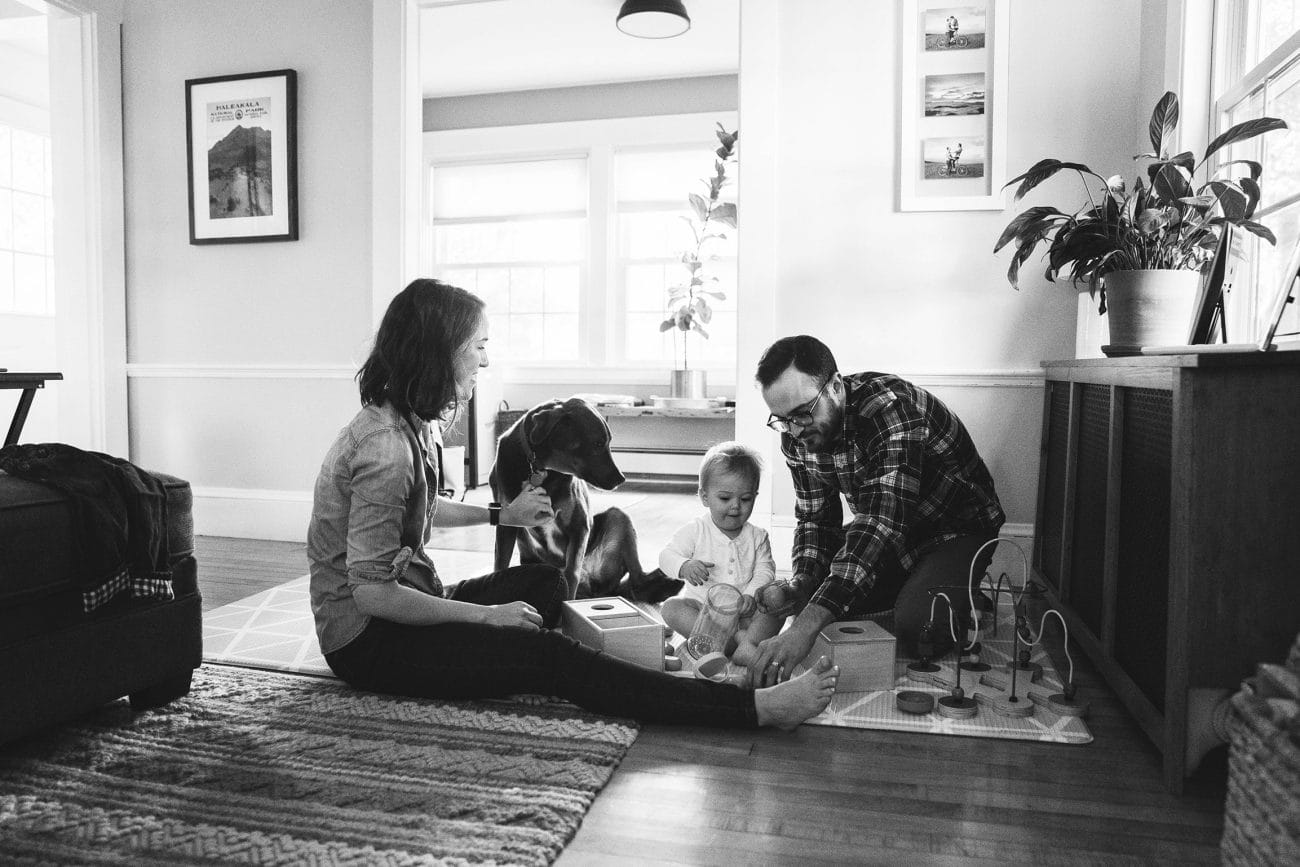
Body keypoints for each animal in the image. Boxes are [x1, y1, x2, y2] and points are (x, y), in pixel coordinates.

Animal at [488, 400, 676, 603]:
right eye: (598, 443)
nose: (621, 479)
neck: (540, 469)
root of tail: (599, 590)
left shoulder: (579, 526)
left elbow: (571, 573)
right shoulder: (507, 522)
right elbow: (501, 564)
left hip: (618, 518)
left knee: (638, 580)